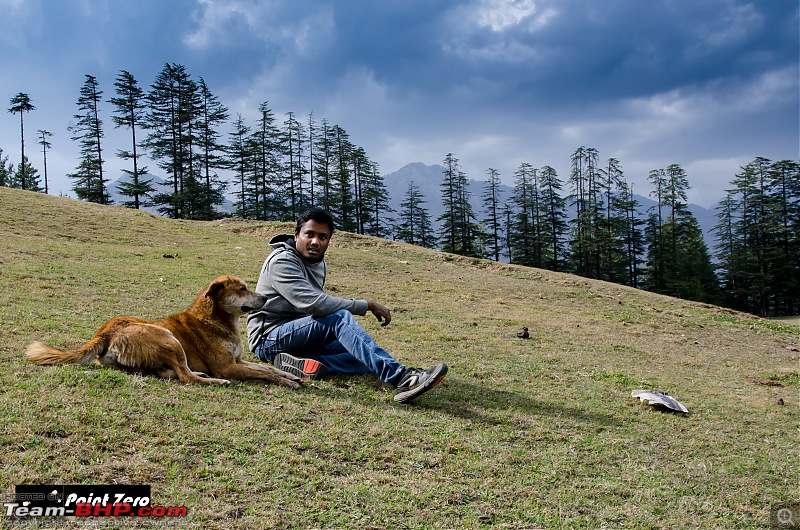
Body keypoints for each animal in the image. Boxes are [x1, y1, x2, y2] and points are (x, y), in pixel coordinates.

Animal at [25, 274, 302, 386]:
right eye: (242, 289)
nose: (266, 297)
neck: (216, 319)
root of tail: (103, 332)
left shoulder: (239, 361)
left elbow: (266, 368)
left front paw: (288, 375)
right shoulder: (227, 366)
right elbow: (262, 373)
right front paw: (286, 381)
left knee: (173, 372)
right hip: (168, 339)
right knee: (185, 376)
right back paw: (214, 381)